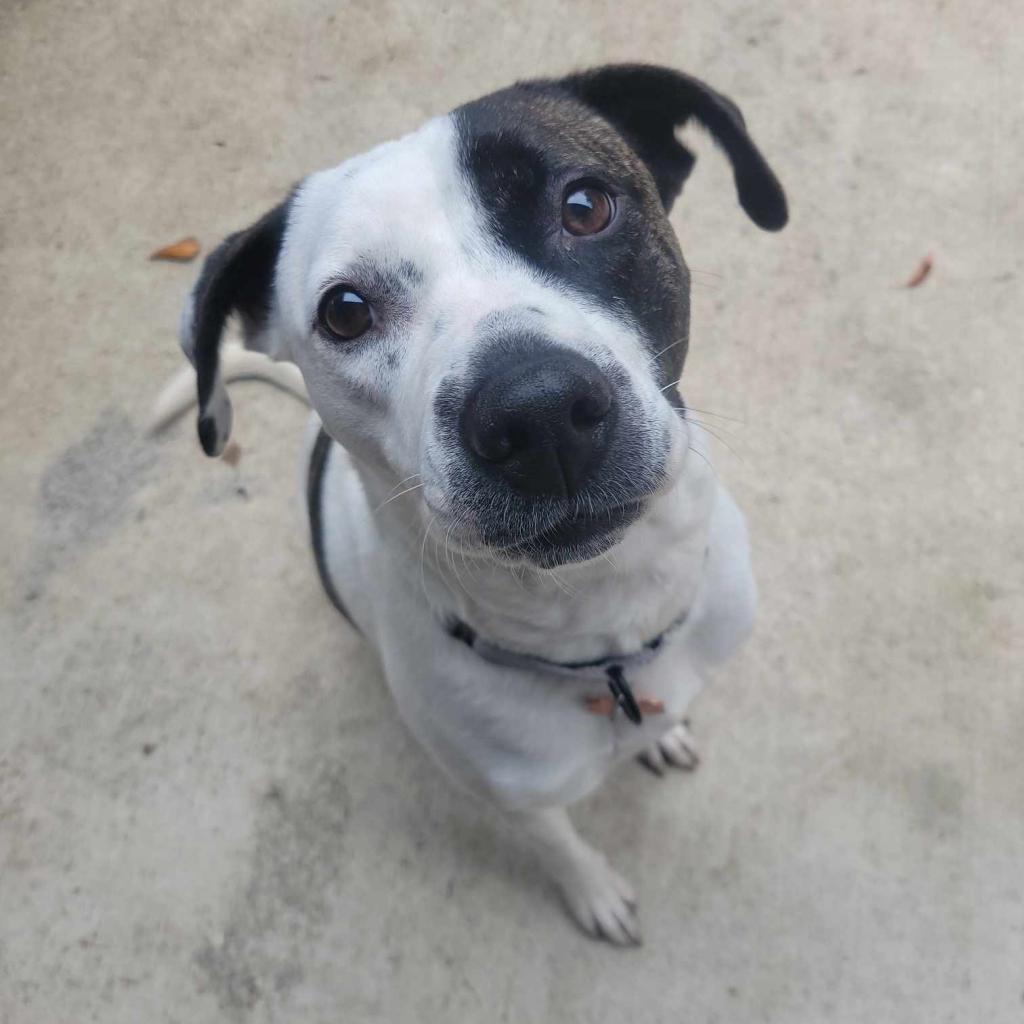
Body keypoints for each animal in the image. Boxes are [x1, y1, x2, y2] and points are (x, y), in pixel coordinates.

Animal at [159, 64, 786, 942]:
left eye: (585, 205)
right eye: (345, 311)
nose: (539, 413)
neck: (603, 629)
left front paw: (664, 740)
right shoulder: (514, 798)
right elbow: (560, 846)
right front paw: (594, 892)